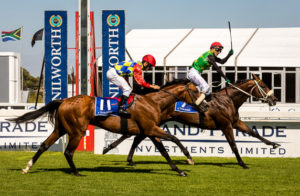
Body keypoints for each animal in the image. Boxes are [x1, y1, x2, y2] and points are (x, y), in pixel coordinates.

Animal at [8, 79, 204, 177]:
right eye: (195, 91)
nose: (204, 106)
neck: (153, 102)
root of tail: (64, 100)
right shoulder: (151, 129)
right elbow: (174, 139)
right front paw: (188, 160)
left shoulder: (149, 131)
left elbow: (164, 151)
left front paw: (179, 170)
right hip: (77, 131)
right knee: (68, 152)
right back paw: (77, 172)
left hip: (61, 129)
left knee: (43, 145)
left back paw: (27, 167)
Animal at [102, 73, 278, 168]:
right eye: (264, 85)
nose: (275, 99)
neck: (228, 100)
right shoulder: (225, 125)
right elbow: (234, 145)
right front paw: (242, 163)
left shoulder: (235, 122)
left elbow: (254, 133)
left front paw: (274, 144)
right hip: (154, 122)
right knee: (136, 135)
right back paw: (112, 149)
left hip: (154, 122)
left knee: (138, 136)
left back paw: (126, 157)